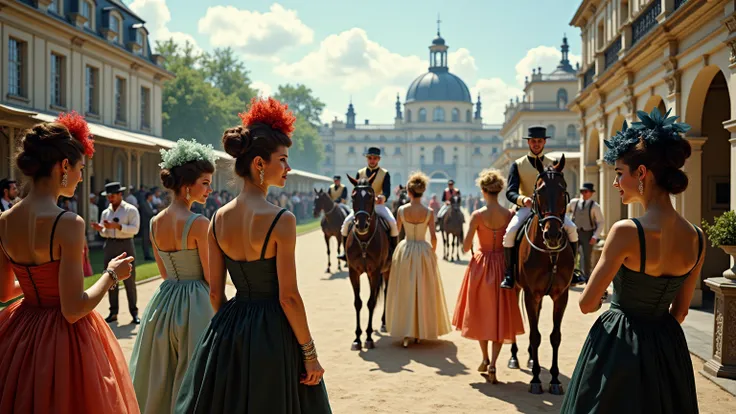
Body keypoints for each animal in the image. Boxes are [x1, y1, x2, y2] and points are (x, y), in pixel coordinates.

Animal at [344, 171, 392, 350]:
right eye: (353, 196)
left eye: (371, 196)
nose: (361, 225)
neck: (364, 240)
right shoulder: (353, 272)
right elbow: (358, 302)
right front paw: (357, 338)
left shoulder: (375, 272)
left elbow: (371, 302)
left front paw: (369, 337)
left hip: (387, 270)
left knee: (386, 292)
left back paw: (384, 322)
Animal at [508, 154, 576, 392]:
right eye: (539, 191)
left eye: (563, 189)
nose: (553, 234)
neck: (550, 254)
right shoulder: (531, 294)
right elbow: (535, 335)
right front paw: (536, 379)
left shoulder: (561, 295)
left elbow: (555, 336)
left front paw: (554, 379)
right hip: (516, 288)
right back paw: (515, 357)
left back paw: (530, 357)